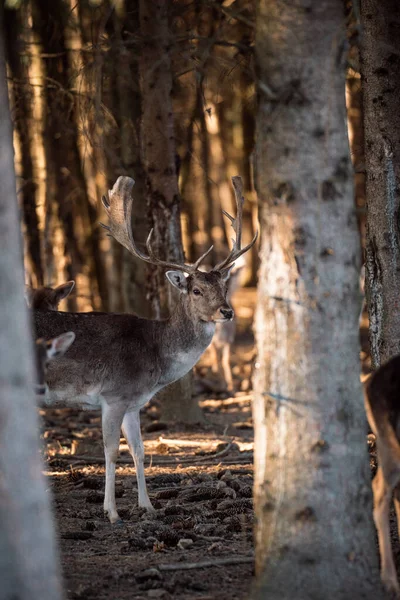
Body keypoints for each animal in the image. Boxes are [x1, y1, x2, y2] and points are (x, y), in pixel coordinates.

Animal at [32, 176, 256, 524]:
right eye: (195, 289)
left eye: (224, 286)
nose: (227, 312)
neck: (155, 359)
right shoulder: (113, 394)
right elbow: (112, 451)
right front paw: (112, 512)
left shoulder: (134, 402)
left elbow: (139, 450)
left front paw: (147, 506)